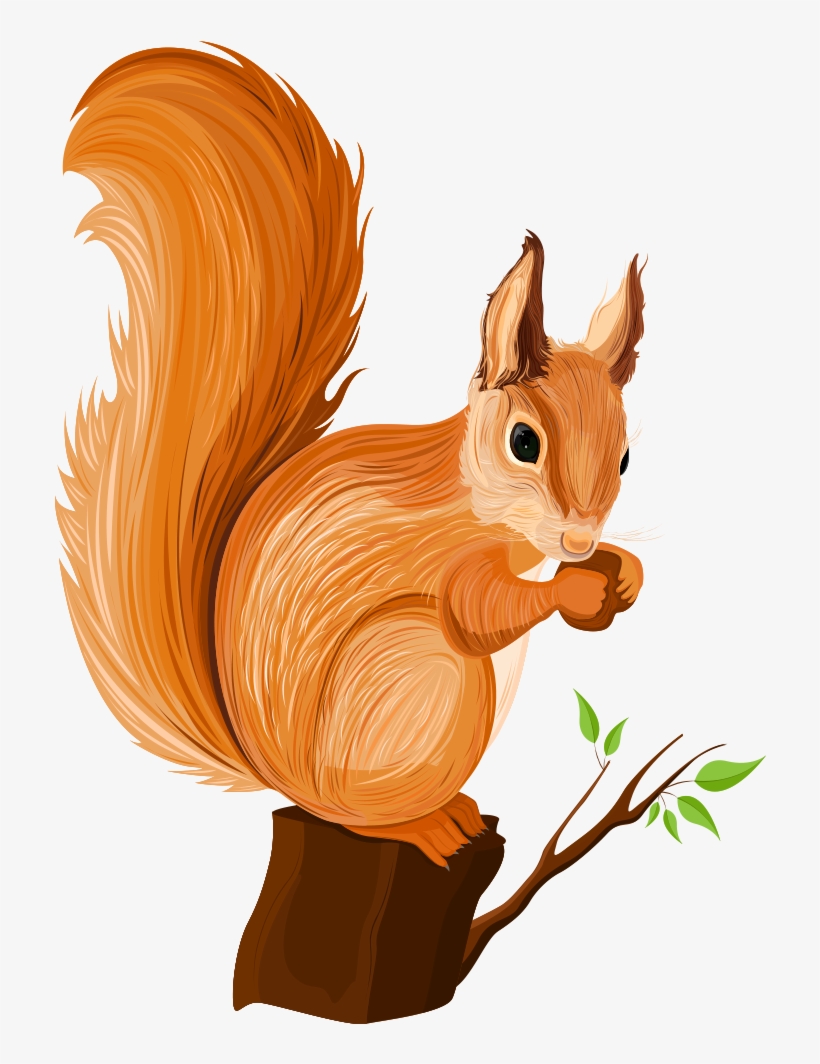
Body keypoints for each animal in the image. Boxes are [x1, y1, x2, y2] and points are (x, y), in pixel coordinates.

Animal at [59, 46, 645, 868]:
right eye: (524, 442)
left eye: (626, 459)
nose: (581, 541)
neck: (485, 508)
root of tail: (277, 777)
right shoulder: (450, 565)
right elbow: (478, 613)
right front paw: (577, 589)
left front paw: (623, 572)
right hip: (414, 680)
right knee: (358, 811)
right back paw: (420, 825)